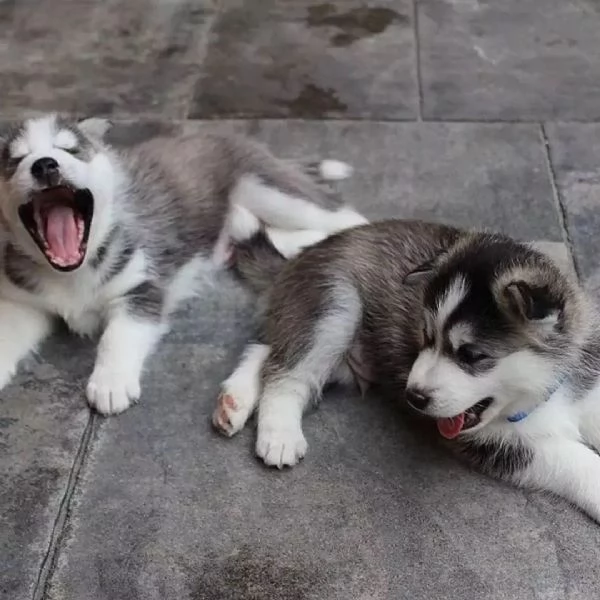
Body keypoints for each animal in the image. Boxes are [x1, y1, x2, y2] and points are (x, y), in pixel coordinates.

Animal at [0, 116, 366, 418]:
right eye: (15, 160)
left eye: (70, 150)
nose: (45, 165)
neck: (74, 271)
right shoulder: (24, 302)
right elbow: (9, 329)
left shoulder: (142, 286)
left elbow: (118, 335)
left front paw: (111, 382)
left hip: (270, 192)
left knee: (345, 217)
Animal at [214, 221, 600, 524]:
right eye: (426, 336)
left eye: (471, 355)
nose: (413, 397)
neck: (543, 392)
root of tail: (301, 255)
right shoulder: (500, 445)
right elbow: (573, 459)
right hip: (335, 304)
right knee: (288, 372)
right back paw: (279, 434)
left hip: (341, 356)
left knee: (267, 349)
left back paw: (233, 402)